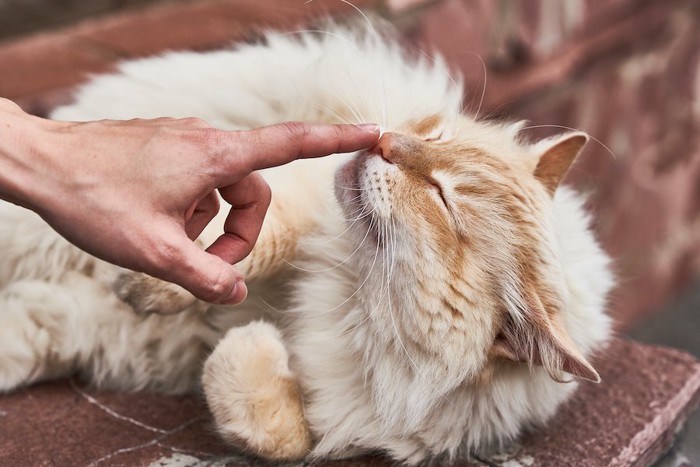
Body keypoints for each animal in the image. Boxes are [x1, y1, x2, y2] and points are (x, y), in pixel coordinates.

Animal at [0, 24, 612, 464]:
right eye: (437, 137)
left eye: (443, 199)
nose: (385, 144)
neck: (345, 298)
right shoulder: (303, 193)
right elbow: (256, 238)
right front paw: (155, 285)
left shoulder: (340, 421)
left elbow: (279, 429)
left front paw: (249, 343)